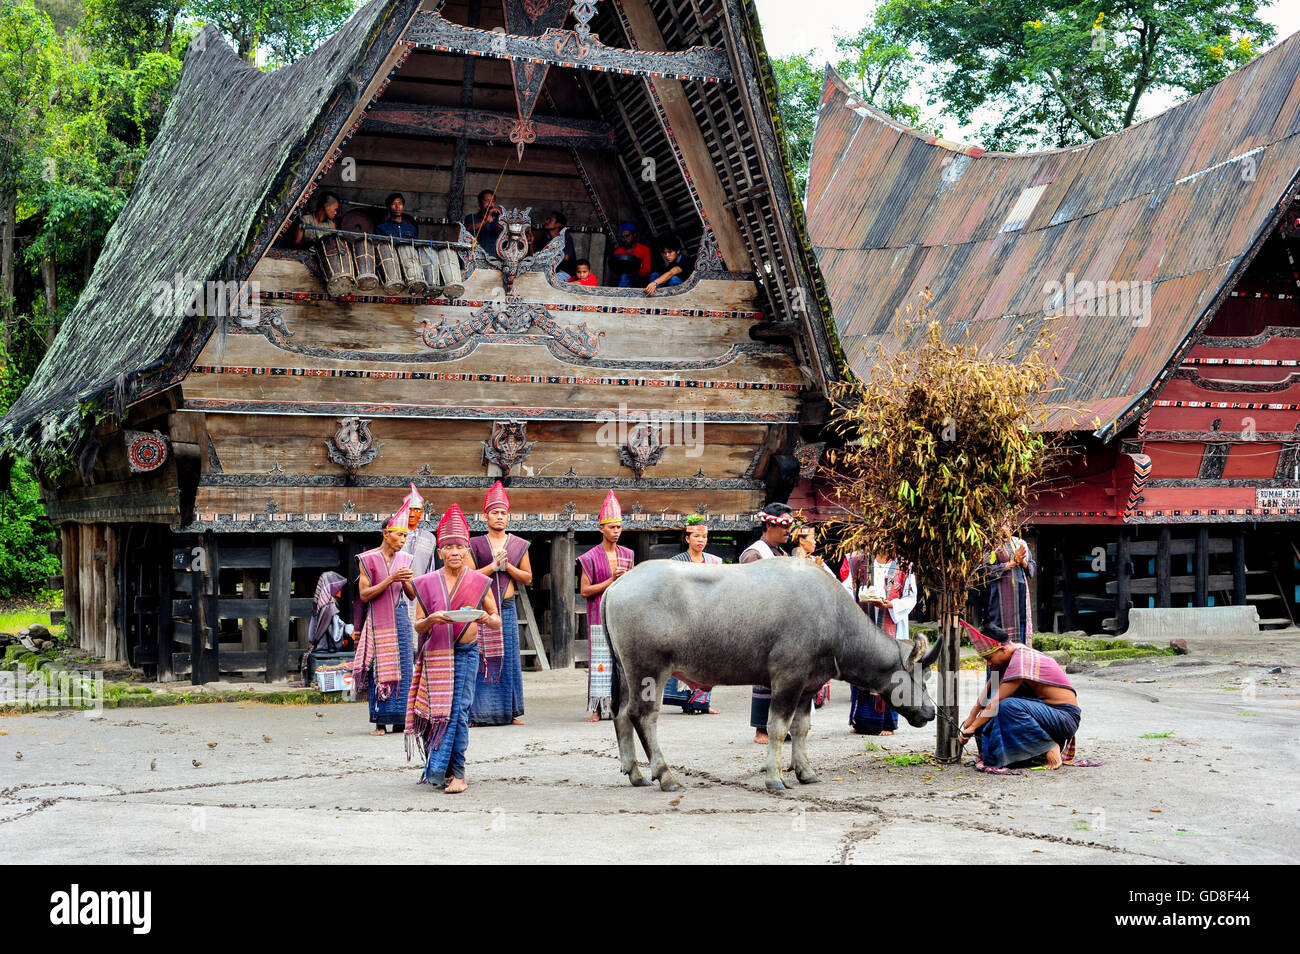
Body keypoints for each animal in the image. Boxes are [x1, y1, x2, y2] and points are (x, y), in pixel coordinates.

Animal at [603, 561, 941, 790]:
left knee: (621, 714)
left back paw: (635, 773)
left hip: (626, 671)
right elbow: (778, 728)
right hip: (648, 671)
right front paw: (775, 777)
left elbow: (802, 729)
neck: (833, 617)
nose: (931, 712)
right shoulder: (787, 681)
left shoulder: (808, 686)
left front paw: (805, 771)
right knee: (643, 716)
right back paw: (665, 775)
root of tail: (617, 586)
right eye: (922, 678)